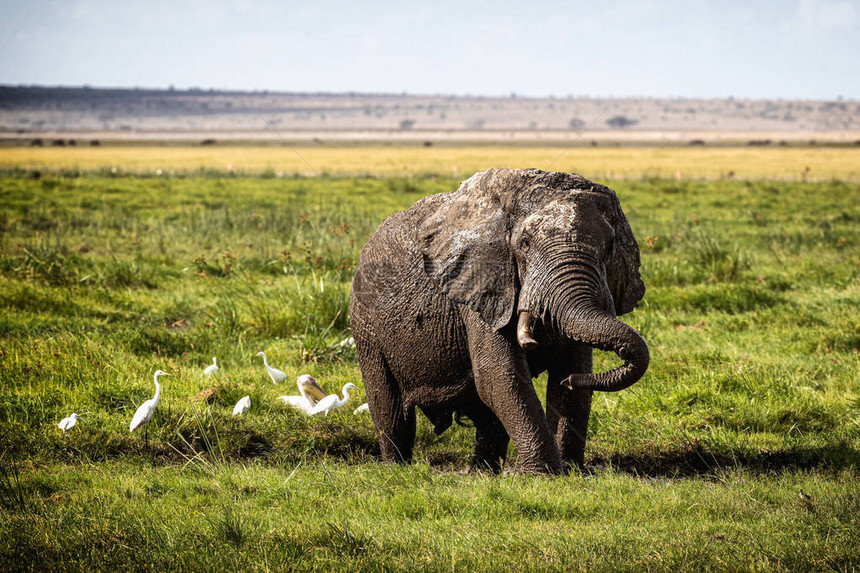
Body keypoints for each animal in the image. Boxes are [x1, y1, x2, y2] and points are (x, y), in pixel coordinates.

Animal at [348, 166, 644, 474]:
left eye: (609, 246)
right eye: (524, 244)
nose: (573, 381)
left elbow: (570, 375)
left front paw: (572, 471)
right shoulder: (481, 289)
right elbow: (501, 376)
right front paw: (544, 475)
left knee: (484, 413)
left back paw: (481, 473)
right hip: (366, 326)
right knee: (391, 411)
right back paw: (396, 469)